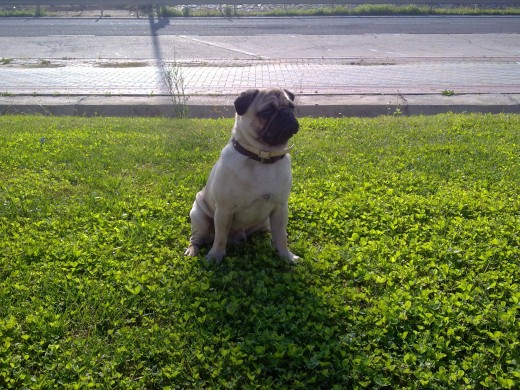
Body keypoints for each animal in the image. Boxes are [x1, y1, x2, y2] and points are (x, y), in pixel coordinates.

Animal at [185, 87, 300, 266]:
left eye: (292, 107)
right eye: (267, 111)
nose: (286, 113)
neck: (262, 157)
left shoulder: (280, 208)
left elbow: (281, 237)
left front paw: (286, 256)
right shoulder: (223, 210)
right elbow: (220, 238)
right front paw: (215, 256)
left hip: (266, 222)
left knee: (272, 232)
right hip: (199, 219)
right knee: (197, 238)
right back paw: (192, 250)